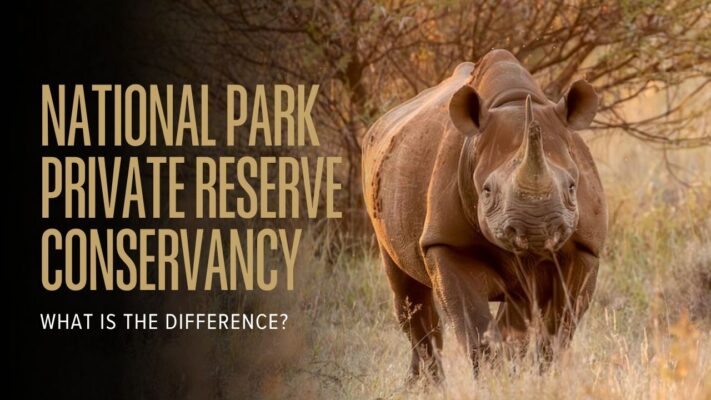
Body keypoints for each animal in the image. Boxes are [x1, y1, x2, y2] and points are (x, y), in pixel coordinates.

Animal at [362, 49, 607, 381]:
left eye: (572, 187)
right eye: (487, 191)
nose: (537, 230)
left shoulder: (585, 248)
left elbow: (559, 329)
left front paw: (544, 380)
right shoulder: (446, 243)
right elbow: (477, 330)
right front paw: (495, 382)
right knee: (407, 295)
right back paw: (425, 384)